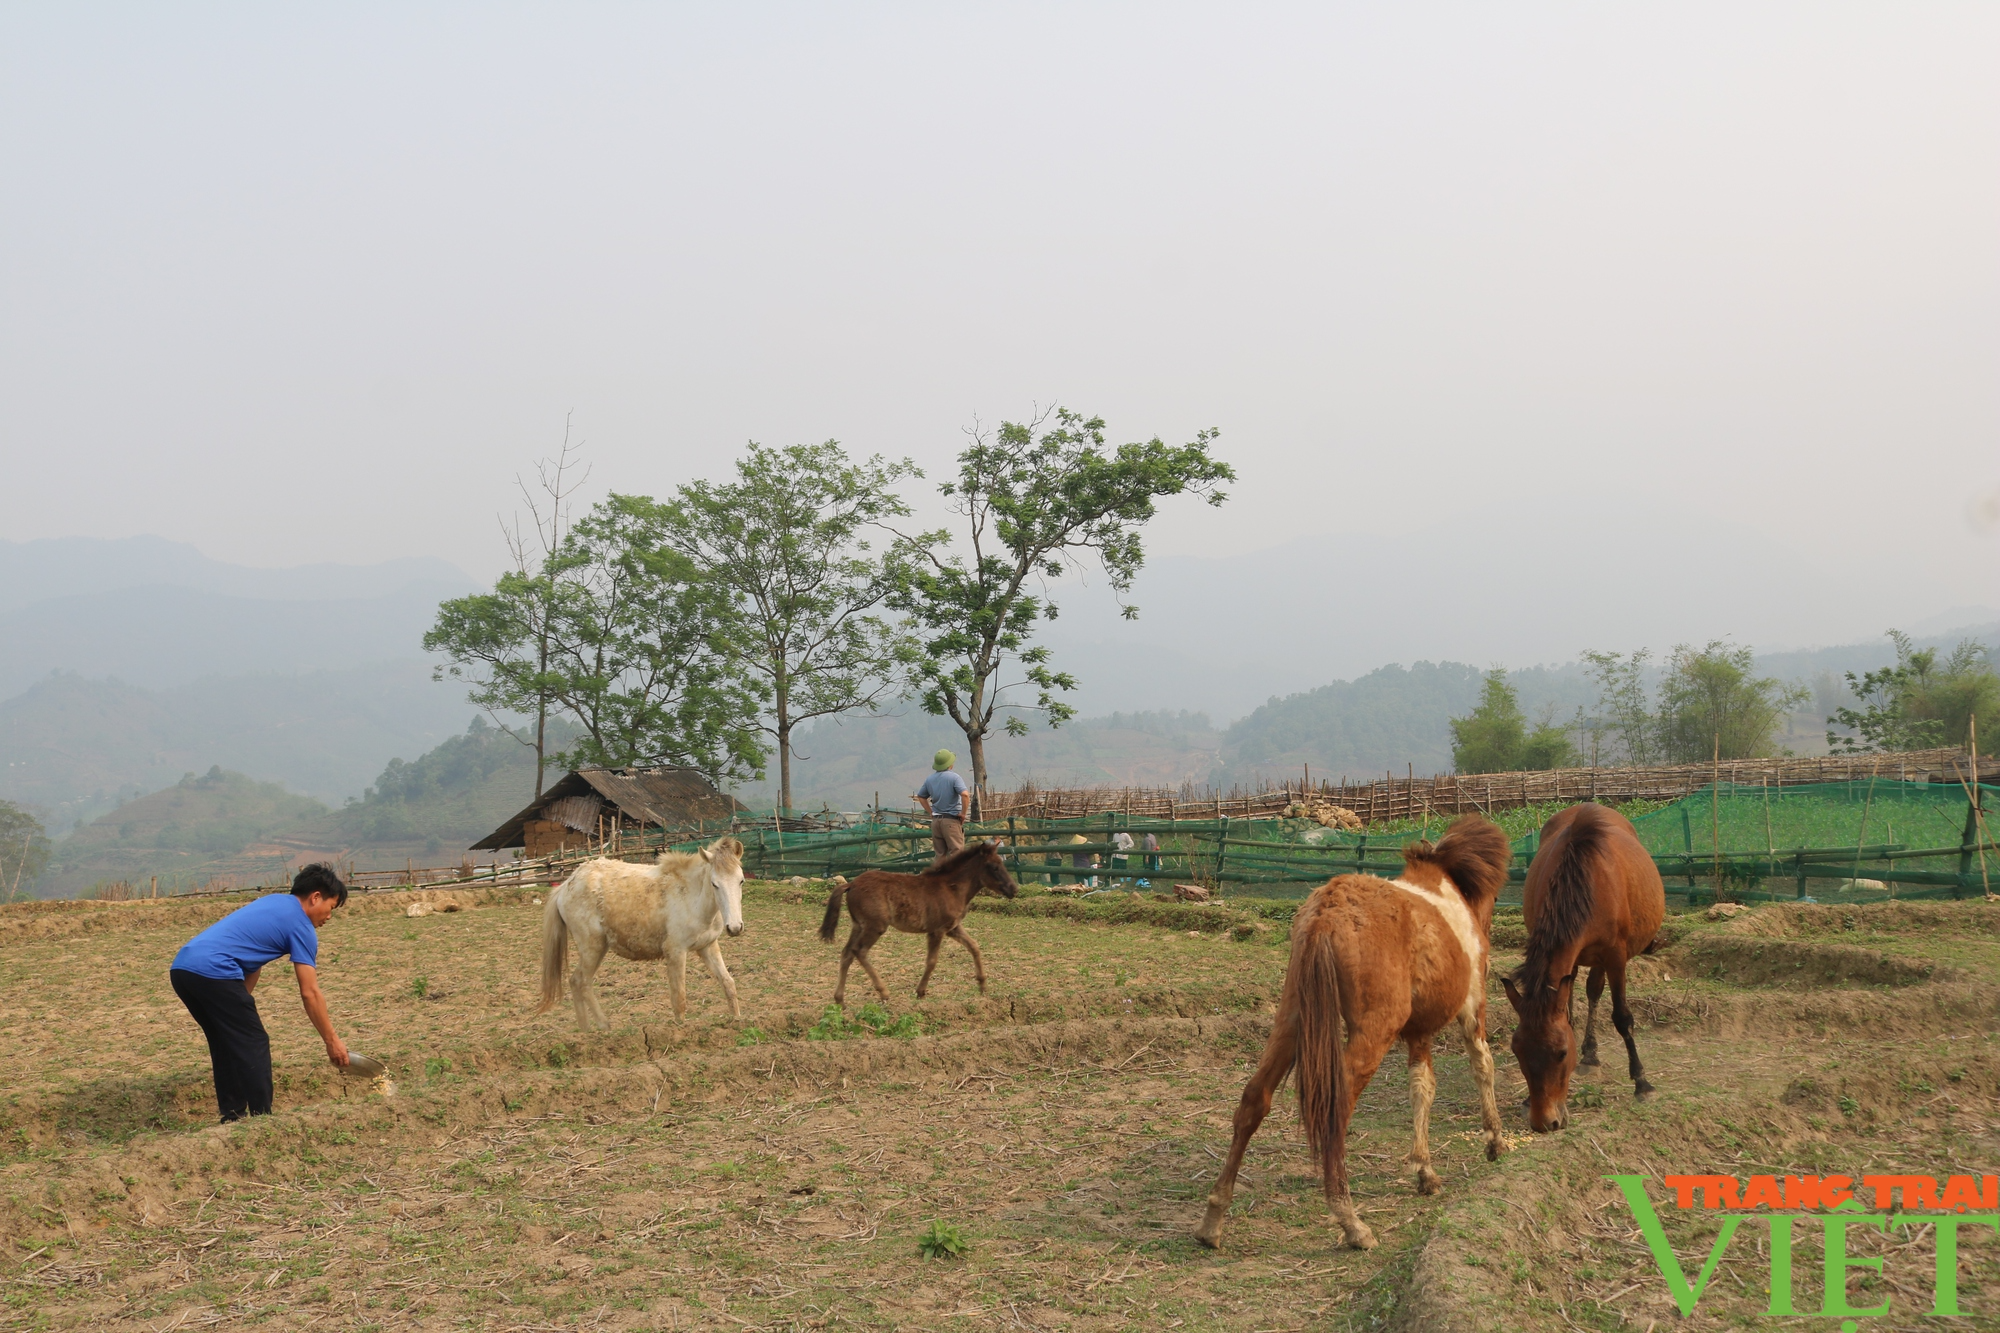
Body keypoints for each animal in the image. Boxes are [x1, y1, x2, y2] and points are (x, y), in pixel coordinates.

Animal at [536, 832, 748, 1024]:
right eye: (714, 884)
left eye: (741, 880)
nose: (734, 927)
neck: (691, 897)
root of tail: (564, 886)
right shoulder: (676, 952)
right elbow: (679, 999)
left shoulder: (707, 946)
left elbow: (728, 983)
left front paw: (737, 1021)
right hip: (592, 948)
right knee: (581, 981)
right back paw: (602, 1027)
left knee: (577, 982)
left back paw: (587, 1029)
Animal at [820, 836, 1024, 1000]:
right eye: (994, 867)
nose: (1014, 889)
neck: (951, 888)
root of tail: (851, 884)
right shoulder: (937, 930)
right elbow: (932, 961)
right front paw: (920, 991)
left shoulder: (953, 928)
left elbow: (974, 947)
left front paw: (982, 985)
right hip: (874, 926)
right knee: (859, 951)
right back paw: (883, 992)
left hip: (858, 925)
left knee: (846, 953)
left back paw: (839, 999)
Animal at [1192, 808, 1504, 1248]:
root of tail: (1328, 911)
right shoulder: (1472, 1010)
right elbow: (1483, 1066)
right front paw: (1494, 1141)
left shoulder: (1418, 1033)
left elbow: (1422, 1088)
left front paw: (1424, 1171)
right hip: (1371, 1033)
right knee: (1335, 1110)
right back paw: (1351, 1222)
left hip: (1291, 1020)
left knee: (1255, 1099)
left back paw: (1213, 1220)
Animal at [1504, 800, 1664, 1128]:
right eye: (1517, 1052)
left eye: (1562, 1053)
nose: (1544, 1122)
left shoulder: (1615, 957)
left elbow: (1621, 1017)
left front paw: (1642, 1083)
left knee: (1594, 991)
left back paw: (1592, 1055)